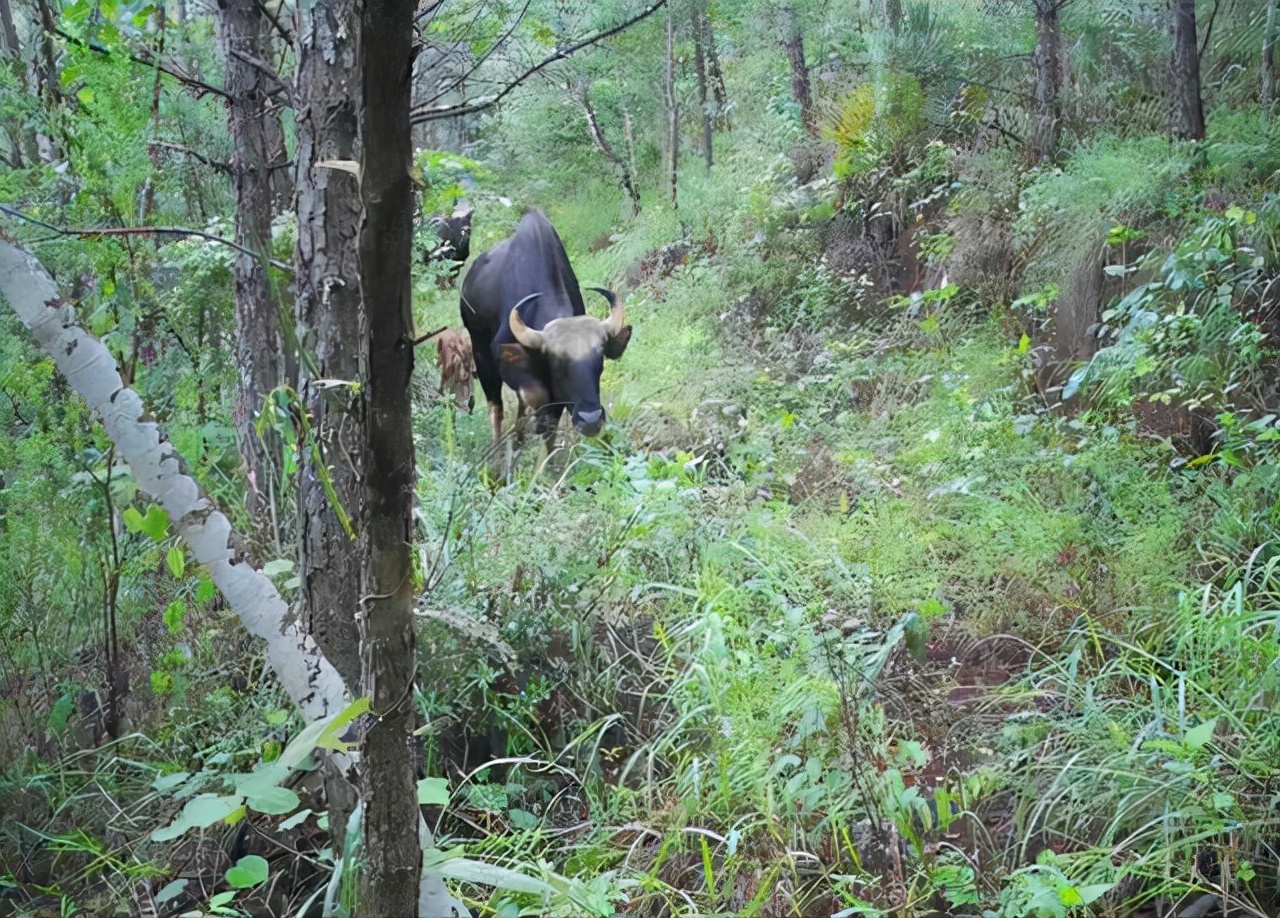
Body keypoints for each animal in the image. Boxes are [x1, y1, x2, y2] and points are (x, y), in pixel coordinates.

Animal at [465, 208, 634, 450]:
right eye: (557, 361)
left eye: (600, 357)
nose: (590, 419)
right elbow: (535, 397)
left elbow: (550, 425)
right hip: (480, 353)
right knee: (495, 407)